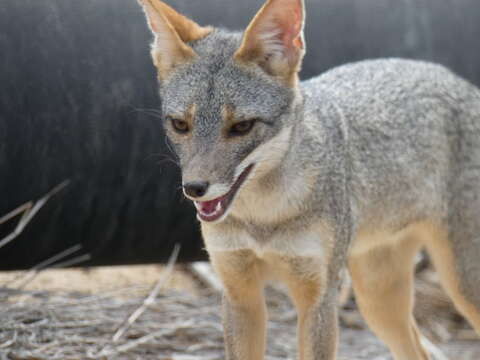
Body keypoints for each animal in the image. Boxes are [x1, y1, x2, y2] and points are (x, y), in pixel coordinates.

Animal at [136, 0, 480, 360]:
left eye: (242, 127)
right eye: (179, 124)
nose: (195, 189)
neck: (263, 217)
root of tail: (456, 78)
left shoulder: (320, 297)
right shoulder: (238, 291)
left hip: (461, 284)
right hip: (377, 300)